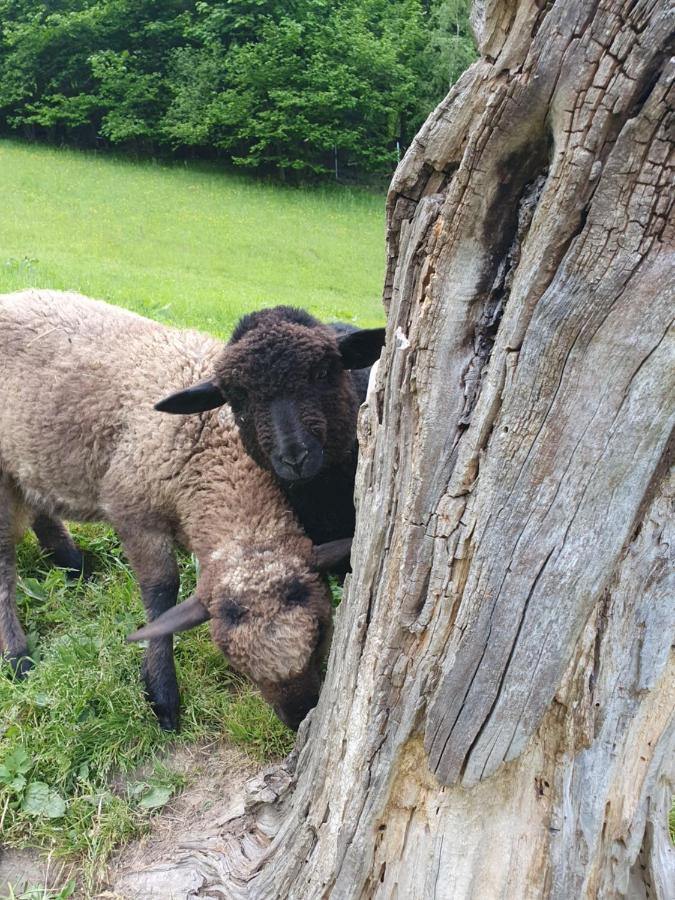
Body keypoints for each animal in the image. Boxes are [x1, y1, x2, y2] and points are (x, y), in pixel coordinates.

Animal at [0, 294, 348, 732]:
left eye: (322, 633)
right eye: (230, 656)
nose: (300, 716)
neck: (216, 445)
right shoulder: (134, 511)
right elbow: (162, 594)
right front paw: (162, 694)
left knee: (41, 506)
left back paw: (73, 565)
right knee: (4, 562)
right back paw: (17, 655)